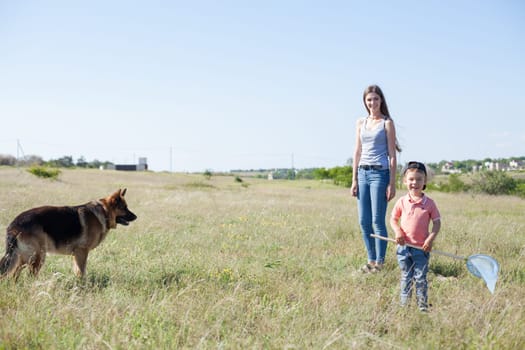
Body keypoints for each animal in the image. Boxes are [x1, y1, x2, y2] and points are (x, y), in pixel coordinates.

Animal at [0, 189, 137, 278]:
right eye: (124, 208)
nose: (136, 217)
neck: (104, 212)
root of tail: (13, 224)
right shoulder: (82, 252)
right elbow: (82, 272)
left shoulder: (76, 254)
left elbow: (77, 271)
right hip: (36, 256)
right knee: (26, 275)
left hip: (22, 257)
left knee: (13, 274)